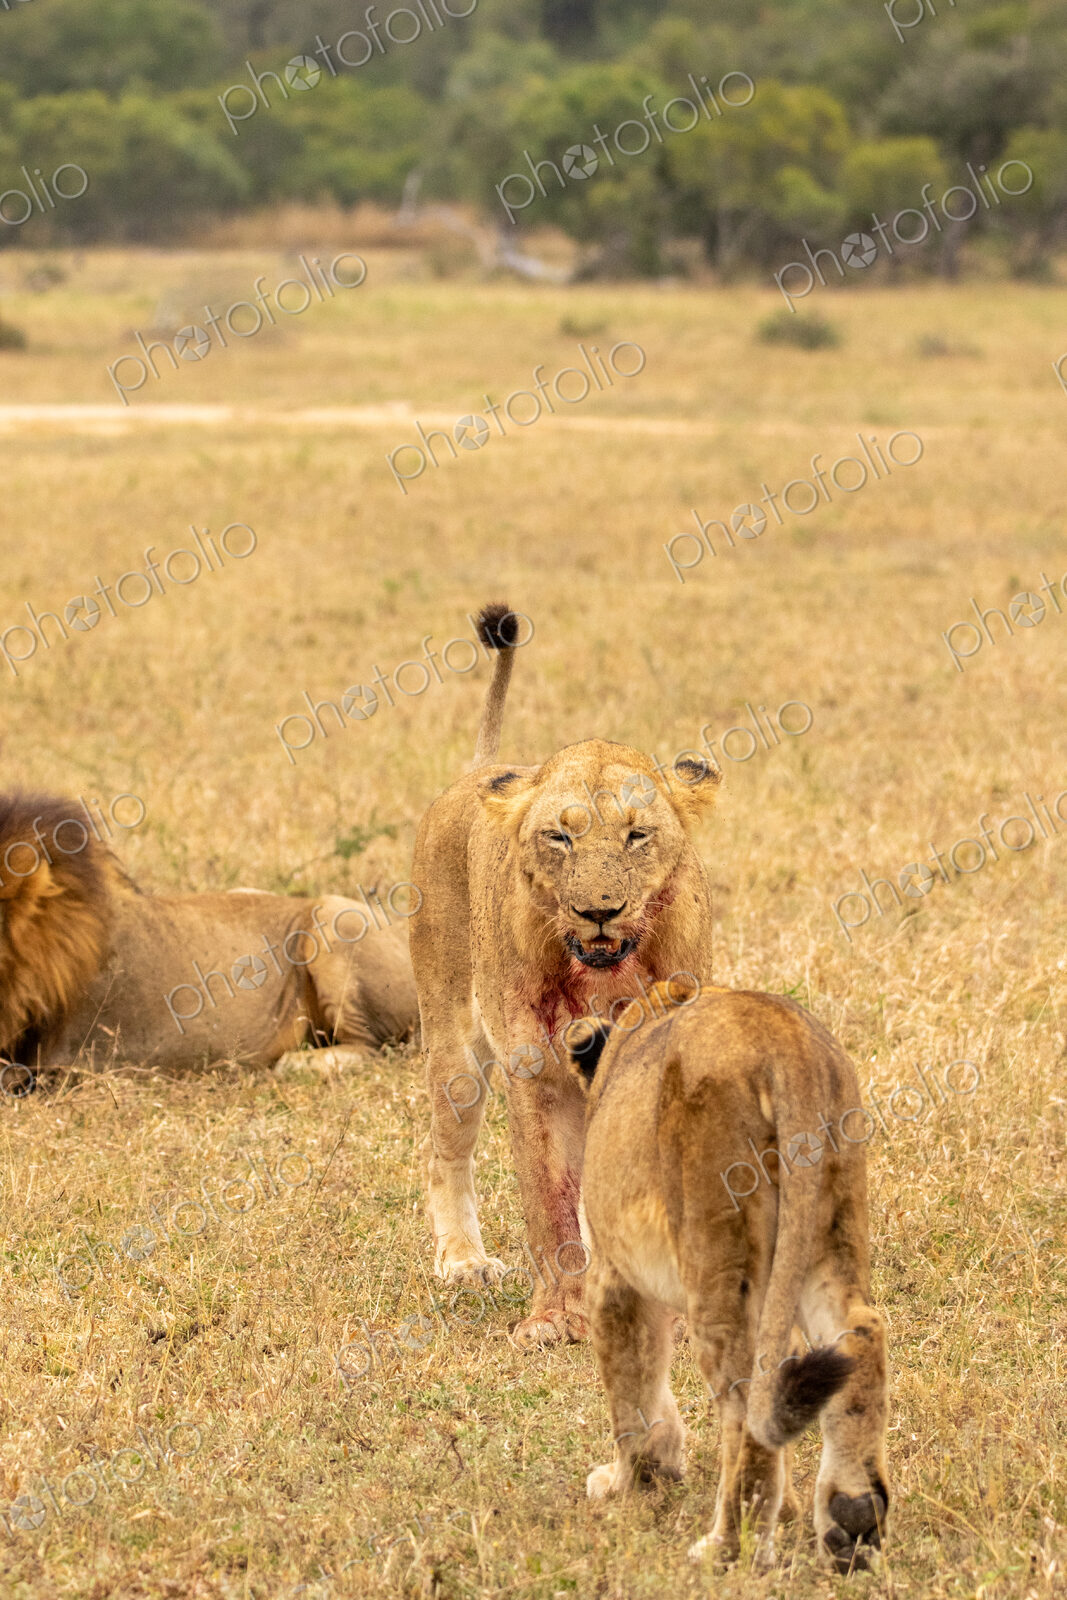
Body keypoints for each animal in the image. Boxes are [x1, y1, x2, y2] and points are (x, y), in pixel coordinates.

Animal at [409, 603, 720, 1349]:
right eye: (560, 836)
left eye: (637, 835)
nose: (598, 910)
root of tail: (482, 769)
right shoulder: (536, 1074)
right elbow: (549, 1205)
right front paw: (554, 1319)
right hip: (454, 1049)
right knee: (444, 1150)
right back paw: (462, 1262)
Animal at [563, 978, 890, 1575]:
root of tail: (785, 1040)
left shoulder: (613, 1278)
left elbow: (631, 1391)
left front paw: (630, 1481)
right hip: (830, 1231)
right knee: (860, 1333)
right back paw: (851, 1522)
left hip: (717, 1253)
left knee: (746, 1395)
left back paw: (728, 1545)